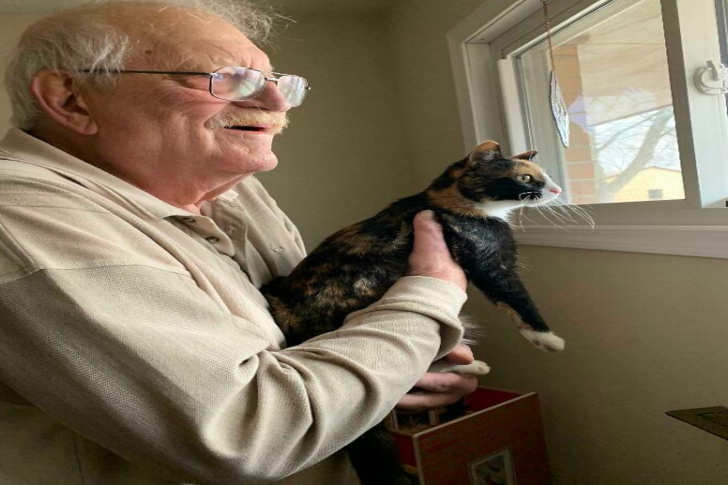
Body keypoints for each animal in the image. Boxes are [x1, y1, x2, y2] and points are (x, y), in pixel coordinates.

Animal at [261, 140, 565, 484]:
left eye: (545, 176)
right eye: (526, 178)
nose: (556, 188)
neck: (450, 201)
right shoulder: (486, 259)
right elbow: (515, 297)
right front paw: (547, 338)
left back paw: (474, 367)